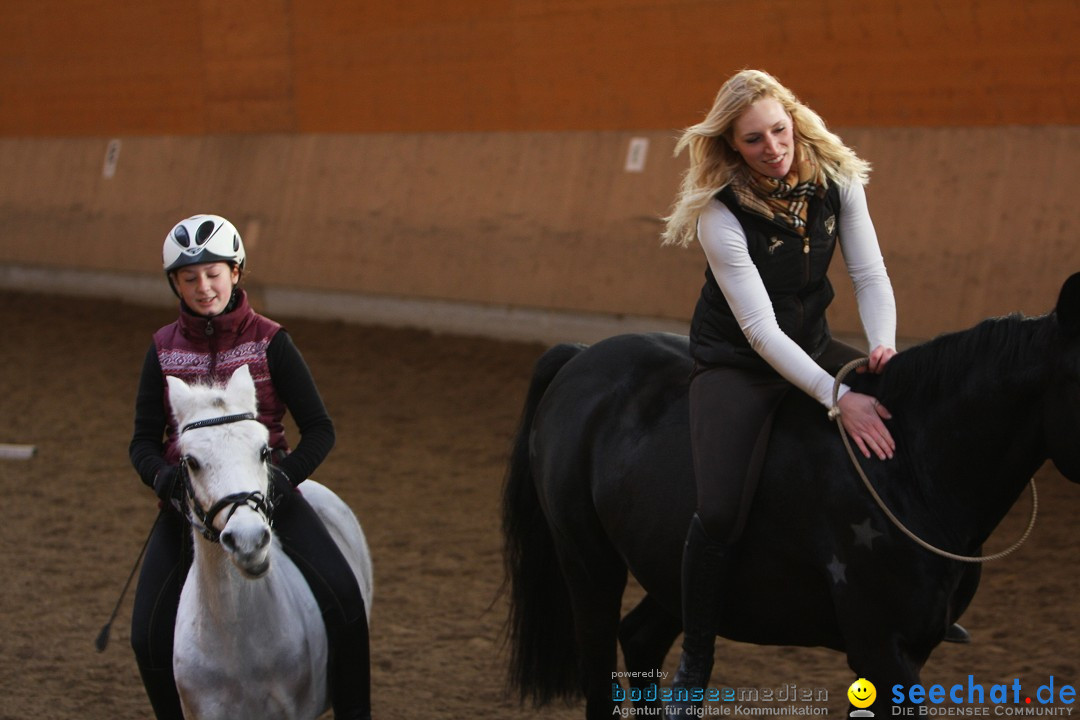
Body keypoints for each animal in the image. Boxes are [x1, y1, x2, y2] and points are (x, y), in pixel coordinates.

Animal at [503, 273, 1080, 716]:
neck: (910, 469)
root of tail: (581, 359)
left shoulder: (910, 652)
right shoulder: (881, 651)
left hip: (669, 565)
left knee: (643, 637)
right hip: (588, 560)